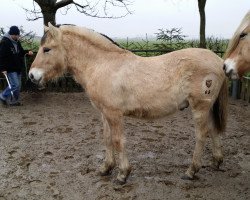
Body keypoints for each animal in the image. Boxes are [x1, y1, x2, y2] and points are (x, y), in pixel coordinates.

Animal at [29, 23, 229, 184]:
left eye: (47, 49)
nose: (32, 76)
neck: (103, 65)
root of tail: (219, 61)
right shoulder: (104, 113)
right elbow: (107, 138)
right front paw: (106, 168)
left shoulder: (114, 114)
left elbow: (118, 140)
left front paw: (122, 174)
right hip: (208, 107)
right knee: (213, 130)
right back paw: (216, 162)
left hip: (200, 107)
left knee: (201, 135)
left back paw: (191, 171)